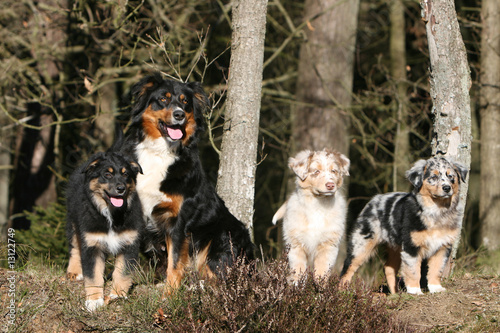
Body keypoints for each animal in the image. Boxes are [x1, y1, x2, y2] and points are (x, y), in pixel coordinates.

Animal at [120, 72, 254, 296]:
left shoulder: (178, 220)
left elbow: (175, 262)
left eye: (185, 102)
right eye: (163, 99)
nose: (179, 115)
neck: (161, 152)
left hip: (223, 237)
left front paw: (170, 294)